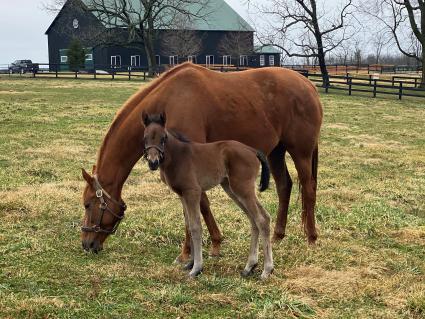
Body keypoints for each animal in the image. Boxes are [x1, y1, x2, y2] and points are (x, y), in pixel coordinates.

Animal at [142, 113, 274, 280]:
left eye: (163, 138)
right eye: (145, 138)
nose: (153, 162)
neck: (178, 156)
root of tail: (252, 150)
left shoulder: (192, 192)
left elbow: (196, 226)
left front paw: (196, 268)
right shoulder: (182, 195)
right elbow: (188, 225)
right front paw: (190, 263)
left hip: (243, 189)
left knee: (261, 220)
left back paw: (267, 270)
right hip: (231, 189)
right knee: (255, 219)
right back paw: (250, 266)